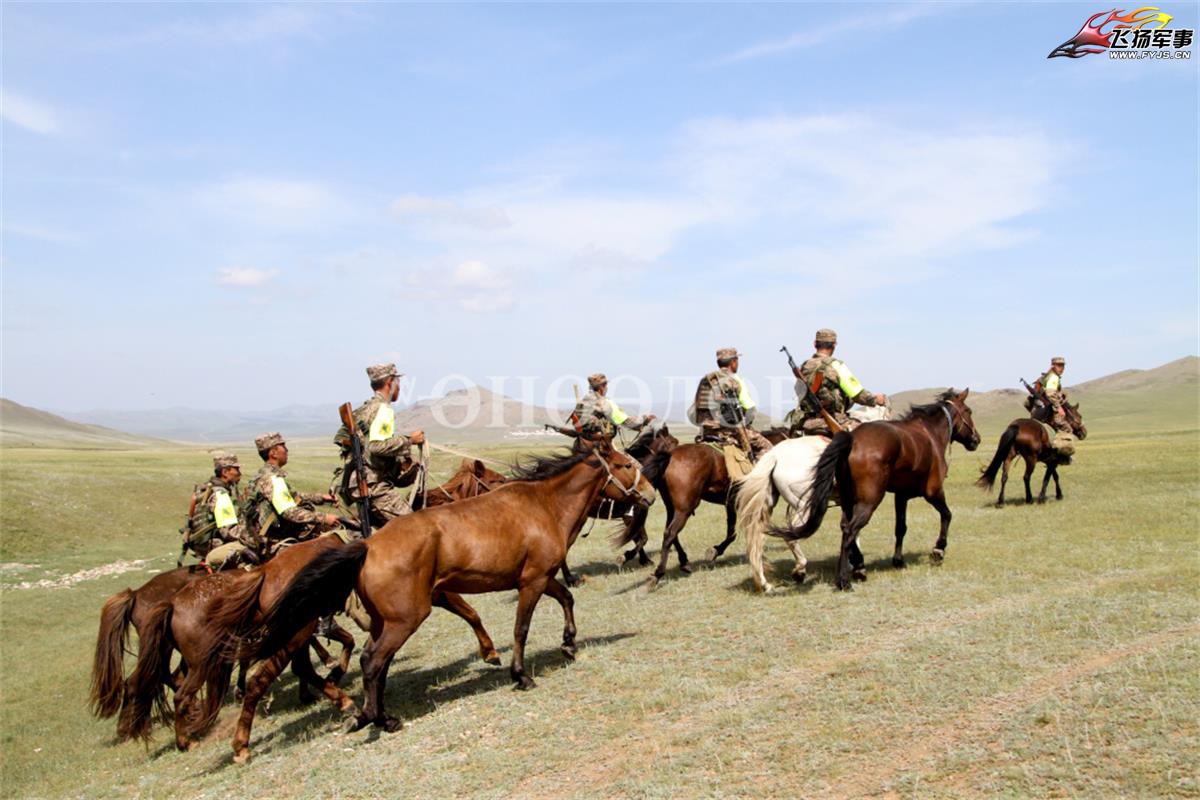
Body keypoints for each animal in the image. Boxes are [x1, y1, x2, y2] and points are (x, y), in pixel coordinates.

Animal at [118, 534, 501, 762]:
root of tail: (263, 573)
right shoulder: (430, 595)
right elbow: (469, 611)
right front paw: (490, 651)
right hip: (282, 638)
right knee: (237, 684)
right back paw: (228, 744)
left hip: (294, 635)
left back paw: (341, 701)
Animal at [246, 443, 657, 738]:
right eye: (624, 465)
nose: (651, 493)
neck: (544, 506)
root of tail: (368, 546)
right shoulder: (532, 582)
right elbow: (521, 629)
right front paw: (520, 675)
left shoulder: (541, 577)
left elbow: (567, 598)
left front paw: (569, 643)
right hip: (407, 619)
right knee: (373, 661)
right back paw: (378, 720)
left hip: (384, 621)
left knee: (373, 662)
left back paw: (371, 715)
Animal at [734, 402, 888, 592]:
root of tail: (775, 455)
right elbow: (853, 531)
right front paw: (857, 568)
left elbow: (850, 530)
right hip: (804, 507)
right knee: (790, 535)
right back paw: (799, 571)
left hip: (767, 505)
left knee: (758, 539)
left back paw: (765, 583)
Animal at [772, 391, 979, 592]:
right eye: (969, 411)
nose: (976, 439)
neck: (930, 433)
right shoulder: (933, 491)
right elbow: (947, 515)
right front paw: (938, 551)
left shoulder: (901, 495)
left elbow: (900, 527)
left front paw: (898, 561)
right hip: (856, 502)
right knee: (846, 530)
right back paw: (841, 579)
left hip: (846, 500)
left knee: (844, 527)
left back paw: (854, 567)